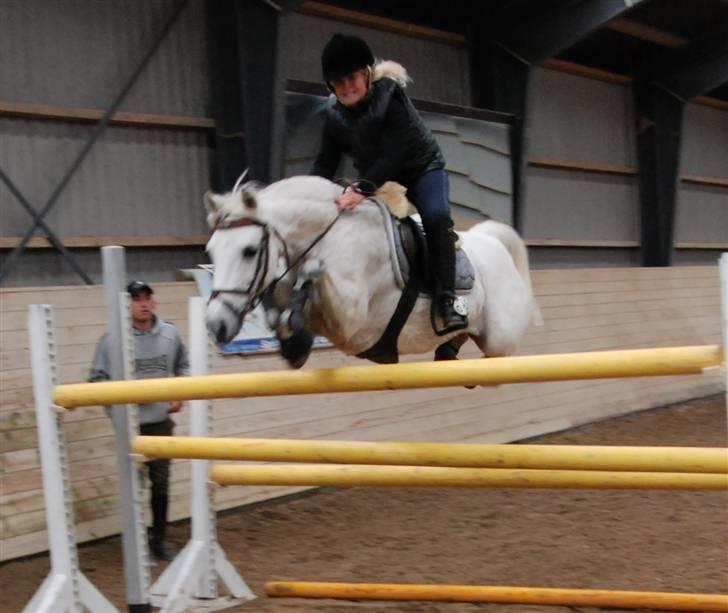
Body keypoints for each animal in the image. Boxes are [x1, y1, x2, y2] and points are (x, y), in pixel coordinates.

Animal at [203, 177, 536, 368]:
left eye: (249, 251)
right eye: (211, 251)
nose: (216, 325)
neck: (329, 235)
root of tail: (492, 240)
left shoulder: (350, 322)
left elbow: (314, 281)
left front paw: (308, 274)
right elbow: (286, 325)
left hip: (500, 340)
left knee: (498, 353)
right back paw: (448, 350)